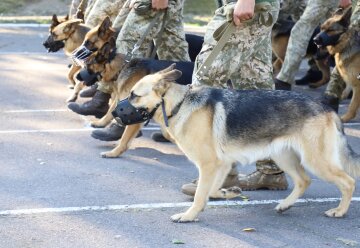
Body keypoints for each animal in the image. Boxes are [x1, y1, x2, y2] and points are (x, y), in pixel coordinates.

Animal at [116, 64, 360, 223]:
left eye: (134, 96)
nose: (115, 112)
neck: (179, 104)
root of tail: (327, 108)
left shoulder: (209, 165)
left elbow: (199, 195)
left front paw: (189, 215)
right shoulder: (221, 165)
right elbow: (212, 190)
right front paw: (228, 193)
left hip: (315, 161)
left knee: (347, 182)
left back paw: (340, 211)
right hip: (284, 157)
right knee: (304, 181)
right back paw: (285, 204)